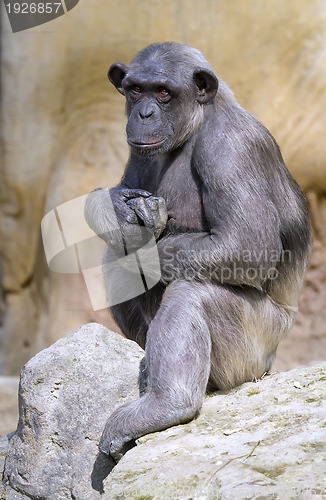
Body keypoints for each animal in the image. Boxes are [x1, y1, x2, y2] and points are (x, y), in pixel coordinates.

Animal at [84, 43, 310, 460]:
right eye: (136, 90)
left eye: (163, 92)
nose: (144, 113)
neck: (196, 126)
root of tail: (271, 364)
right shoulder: (140, 153)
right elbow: (123, 194)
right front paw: (117, 209)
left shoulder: (230, 150)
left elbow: (246, 244)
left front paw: (143, 245)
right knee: (114, 259)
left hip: (254, 347)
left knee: (191, 292)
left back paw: (164, 404)